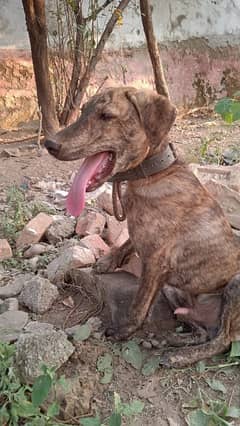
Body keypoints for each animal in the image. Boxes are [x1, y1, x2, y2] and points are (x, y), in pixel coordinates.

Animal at [44, 85, 240, 356]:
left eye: (107, 116)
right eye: (82, 111)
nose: (49, 143)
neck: (153, 175)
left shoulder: (155, 262)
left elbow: (139, 304)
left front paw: (124, 331)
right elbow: (128, 239)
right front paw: (109, 260)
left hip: (233, 288)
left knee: (222, 340)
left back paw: (180, 357)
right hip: (173, 289)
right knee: (202, 332)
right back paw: (169, 341)